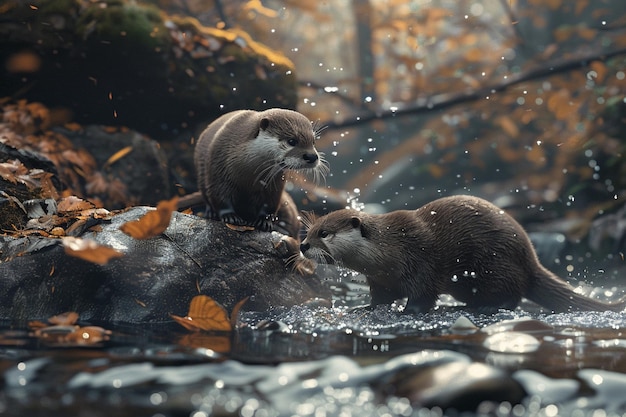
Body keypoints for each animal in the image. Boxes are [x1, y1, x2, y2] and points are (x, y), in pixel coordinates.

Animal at [194, 108, 326, 231]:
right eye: (292, 141)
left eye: (313, 142)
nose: (312, 156)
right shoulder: (218, 167)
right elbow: (220, 196)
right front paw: (230, 216)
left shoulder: (274, 184)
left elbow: (270, 203)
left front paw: (264, 221)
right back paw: (210, 213)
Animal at [300, 195, 620, 312]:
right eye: (309, 230)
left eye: (324, 233)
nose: (303, 245)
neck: (390, 249)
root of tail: (531, 259)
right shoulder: (380, 279)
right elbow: (381, 298)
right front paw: (365, 308)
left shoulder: (421, 261)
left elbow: (423, 295)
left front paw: (410, 311)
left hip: (497, 265)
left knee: (513, 294)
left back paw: (483, 307)